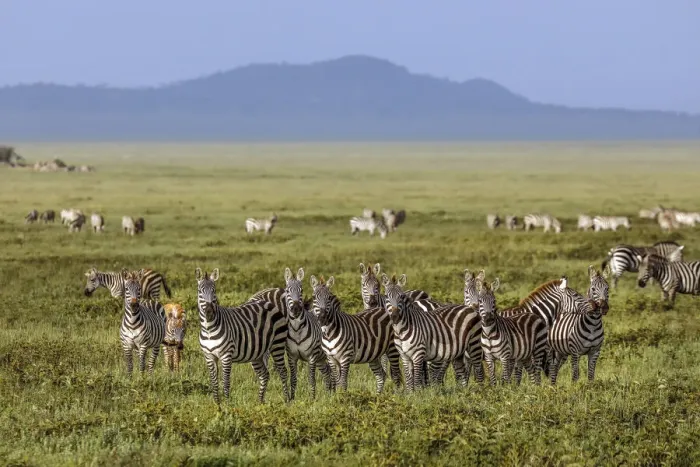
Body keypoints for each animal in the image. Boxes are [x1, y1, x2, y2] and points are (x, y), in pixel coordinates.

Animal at [196, 268, 290, 405]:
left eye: (214, 291)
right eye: (200, 292)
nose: (209, 311)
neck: (209, 329)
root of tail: (268, 303)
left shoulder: (226, 355)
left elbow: (226, 382)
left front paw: (227, 404)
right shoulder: (209, 356)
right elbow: (214, 382)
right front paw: (217, 404)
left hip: (277, 343)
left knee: (283, 371)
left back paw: (288, 400)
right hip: (257, 354)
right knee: (264, 375)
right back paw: (260, 402)